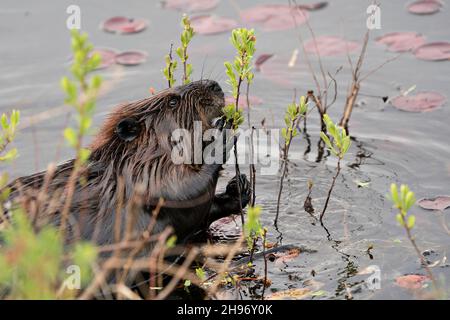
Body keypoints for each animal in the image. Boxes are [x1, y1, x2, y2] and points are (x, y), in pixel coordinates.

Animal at [0, 79, 250, 250]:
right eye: (172, 101)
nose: (215, 85)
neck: (120, 169)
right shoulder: (142, 181)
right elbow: (182, 193)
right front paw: (220, 134)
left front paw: (239, 186)